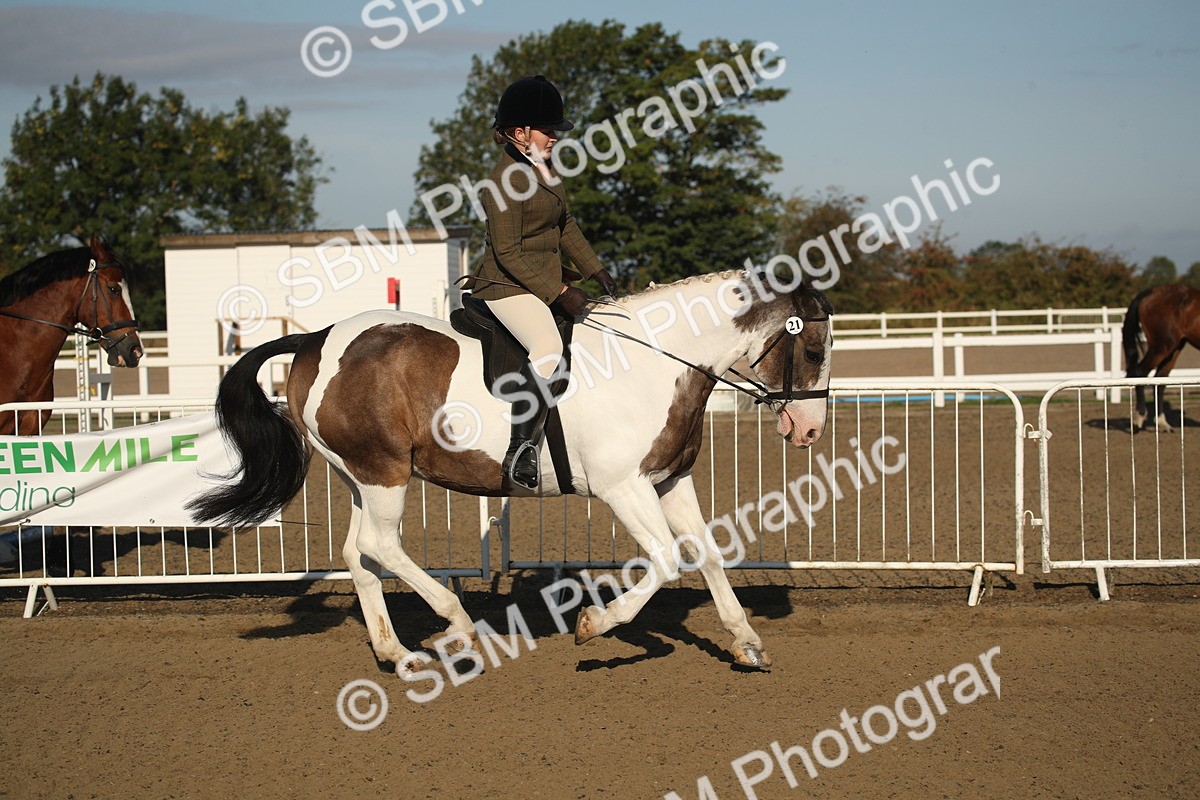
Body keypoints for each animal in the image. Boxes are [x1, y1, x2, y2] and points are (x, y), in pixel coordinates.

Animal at [188, 270, 833, 670]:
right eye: (815, 350)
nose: (808, 431)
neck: (655, 360)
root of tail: (317, 338)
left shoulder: (668, 480)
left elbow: (708, 554)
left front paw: (747, 642)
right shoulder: (624, 488)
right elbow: (668, 560)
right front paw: (595, 625)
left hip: (359, 477)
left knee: (358, 553)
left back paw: (397, 654)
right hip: (384, 472)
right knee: (381, 545)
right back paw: (458, 626)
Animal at [1122, 283, 1200, 432]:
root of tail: (1152, 292)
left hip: (1173, 349)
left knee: (1160, 380)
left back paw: (1162, 423)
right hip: (1161, 347)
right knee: (1140, 372)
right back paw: (1139, 417)